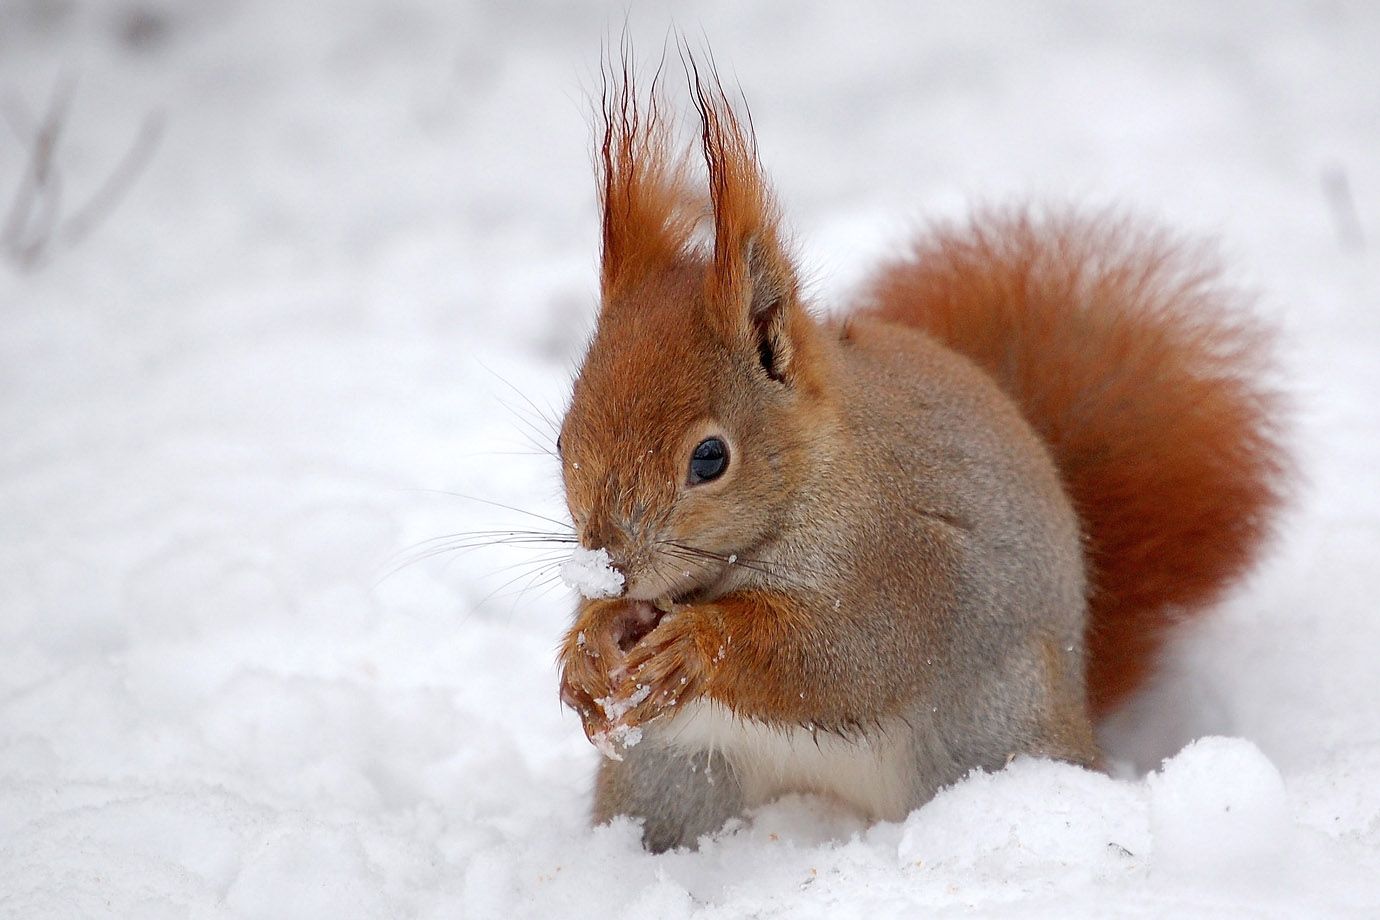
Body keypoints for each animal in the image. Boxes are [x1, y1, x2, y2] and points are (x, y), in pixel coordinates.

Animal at [554, 58, 1288, 853]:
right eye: (564, 438)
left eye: (710, 459)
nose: (612, 564)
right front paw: (588, 648)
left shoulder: (895, 562)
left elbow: (837, 657)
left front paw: (696, 643)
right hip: (672, 776)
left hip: (988, 732)